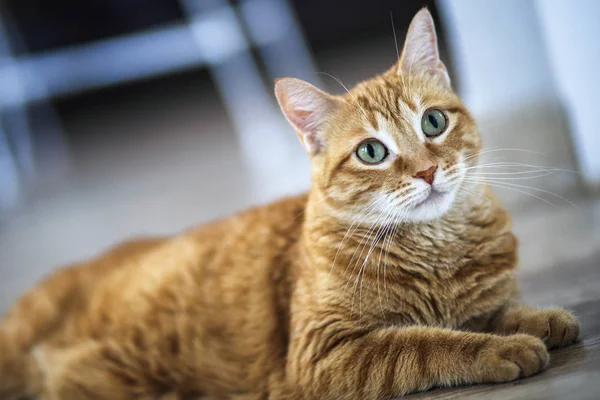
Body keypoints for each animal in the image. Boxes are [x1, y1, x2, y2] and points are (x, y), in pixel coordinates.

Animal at [1, 9, 580, 400]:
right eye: (372, 152)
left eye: (433, 122)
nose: (426, 171)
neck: (435, 250)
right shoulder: (325, 354)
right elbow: (430, 343)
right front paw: (505, 347)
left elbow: (493, 311)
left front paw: (542, 319)